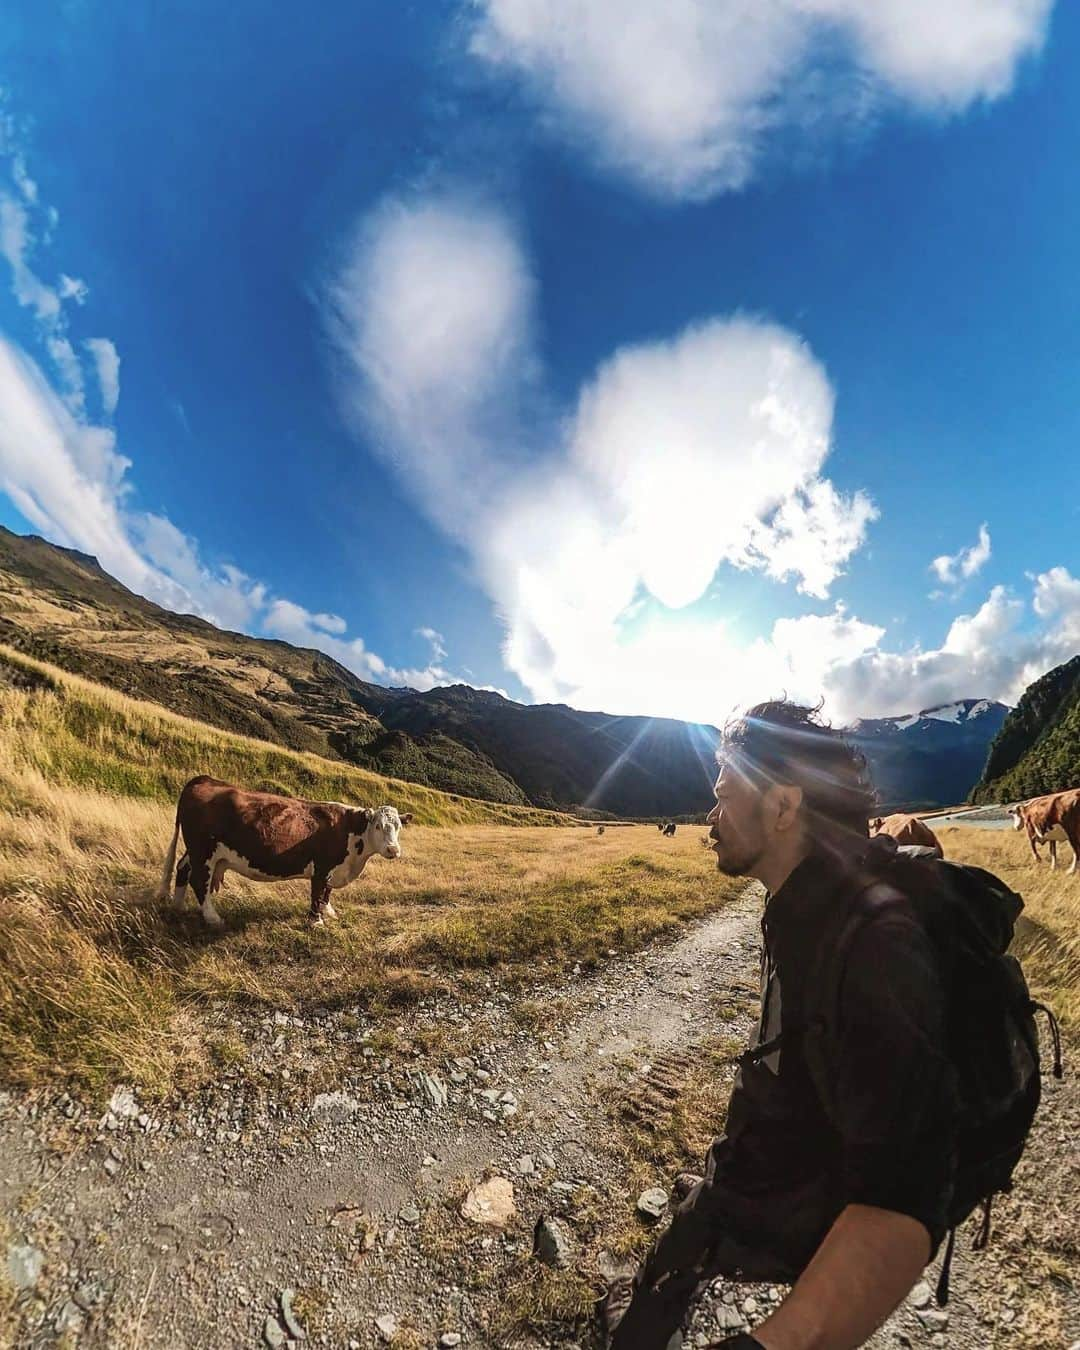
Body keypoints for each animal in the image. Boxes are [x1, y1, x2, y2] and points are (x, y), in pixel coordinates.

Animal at [155, 783, 413, 928]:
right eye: (378, 826)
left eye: (399, 826)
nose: (393, 850)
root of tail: (203, 780)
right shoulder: (322, 868)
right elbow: (317, 893)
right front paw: (316, 922)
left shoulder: (333, 871)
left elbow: (326, 893)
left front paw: (329, 913)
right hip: (203, 850)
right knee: (199, 881)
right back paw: (213, 918)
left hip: (195, 851)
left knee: (182, 868)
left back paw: (178, 905)